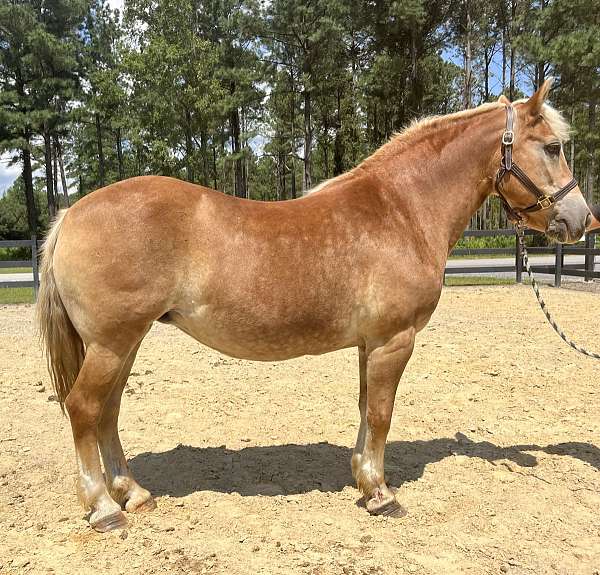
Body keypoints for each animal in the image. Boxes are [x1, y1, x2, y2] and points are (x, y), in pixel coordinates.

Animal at [37, 80, 592, 532]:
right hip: (112, 343)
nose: (583, 219)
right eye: (552, 146)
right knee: (84, 409)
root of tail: (72, 213)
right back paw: (104, 509)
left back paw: (133, 494)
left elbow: (367, 409)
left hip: (124, 343)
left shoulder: (372, 344)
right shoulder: (394, 340)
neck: (402, 211)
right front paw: (382, 496)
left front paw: (364, 480)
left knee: (107, 412)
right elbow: (383, 413)